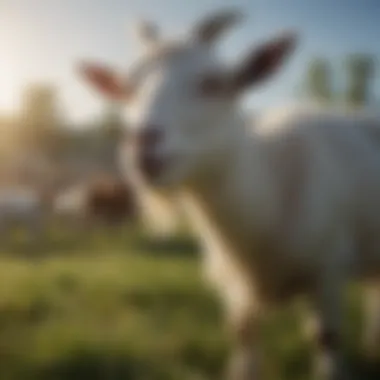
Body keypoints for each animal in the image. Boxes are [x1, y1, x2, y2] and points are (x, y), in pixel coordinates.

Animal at [77, 9, 380, 380]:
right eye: (128, 90)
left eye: (213, 84)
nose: (142, 149)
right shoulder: (232, 286)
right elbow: (242, 334)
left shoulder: (329, 268)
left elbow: (328, 337)